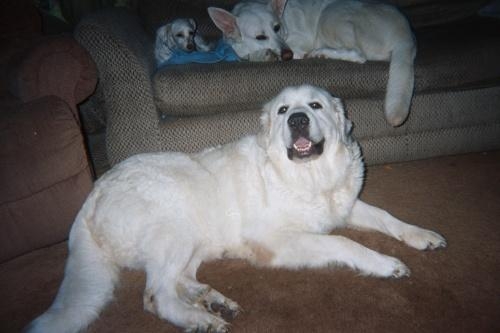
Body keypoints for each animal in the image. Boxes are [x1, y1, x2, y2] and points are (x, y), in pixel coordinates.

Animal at [27, 84, 444, 330]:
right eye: (282, 111)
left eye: (315, 105)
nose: (297, 119)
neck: (309, 177)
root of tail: (90, 197)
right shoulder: (277, 239)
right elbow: (344, 243)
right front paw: (386, 264)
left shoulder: (345, 205)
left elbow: (387, 218)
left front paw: (421, 235)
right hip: (176, 223)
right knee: (155, 296)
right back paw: (201, 319)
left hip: (196, 240)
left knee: (176, 279)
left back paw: (210, 299)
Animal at [209, 0, 416, 126]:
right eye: (260, 37)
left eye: (277, 27)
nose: (287, 55)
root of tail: (406, 34)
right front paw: (262, 54)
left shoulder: (298, 40)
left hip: (332, 13)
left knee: (357, 54)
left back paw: (320, 53)